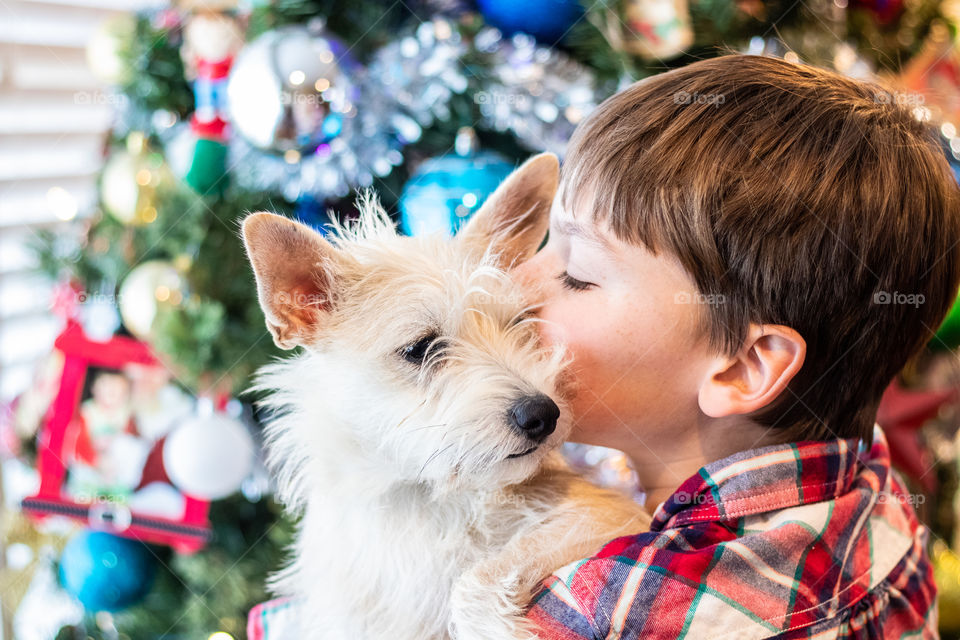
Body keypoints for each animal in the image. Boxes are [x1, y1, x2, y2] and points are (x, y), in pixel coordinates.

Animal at [242, 152, 652, 636]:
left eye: (519, 323)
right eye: (420, 348)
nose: (543, 414)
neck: (422, 492)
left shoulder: (604, 514)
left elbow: (478, 575)